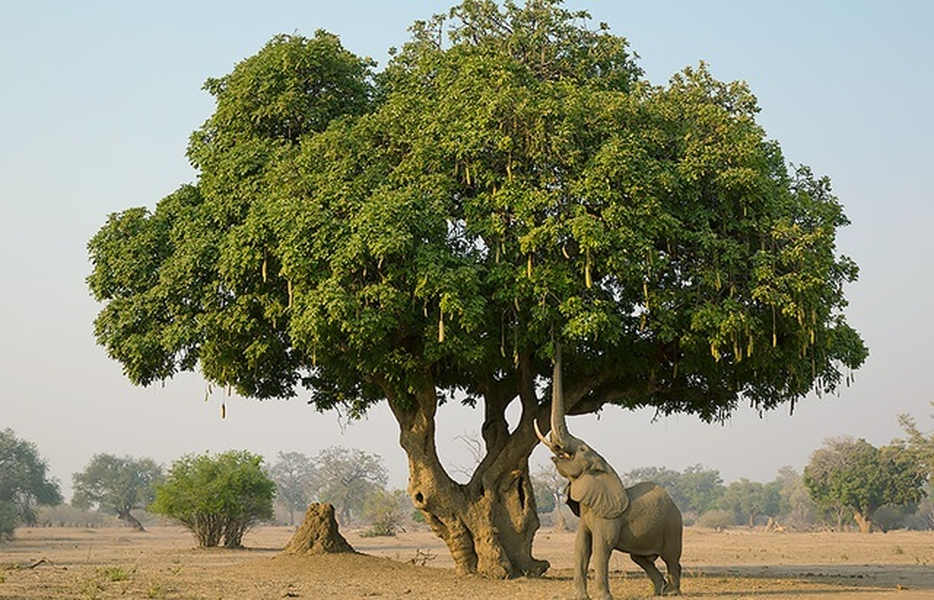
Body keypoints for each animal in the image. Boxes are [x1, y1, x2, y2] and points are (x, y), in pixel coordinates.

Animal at [536, 344, 684, 596]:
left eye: (582, 448)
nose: (557, 342)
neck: (603, 468)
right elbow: (581, 547)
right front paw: (580, 597)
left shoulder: (608, 517)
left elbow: (601, 548)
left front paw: (604, 597)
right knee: (641, 558)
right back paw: (658, 592)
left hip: (673, 525)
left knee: (671, 558)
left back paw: (672, 593)